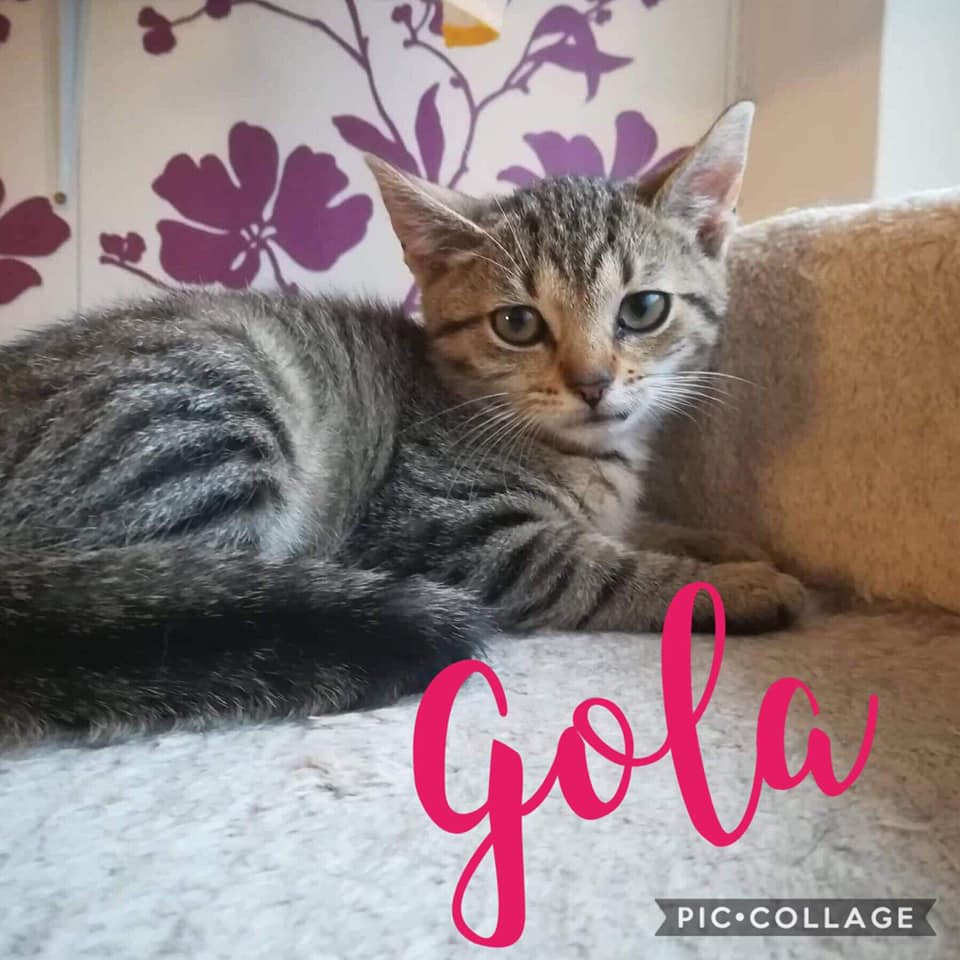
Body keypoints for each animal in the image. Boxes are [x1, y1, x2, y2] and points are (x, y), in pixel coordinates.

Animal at [0, 102, 804, 743]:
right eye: (518, 324)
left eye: (643, 309)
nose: (592, 383)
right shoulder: (449, 534)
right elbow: (599, 566)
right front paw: (736, 586)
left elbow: (647, 527)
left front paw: (730, 544)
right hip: (205, 416)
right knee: (203, 594)